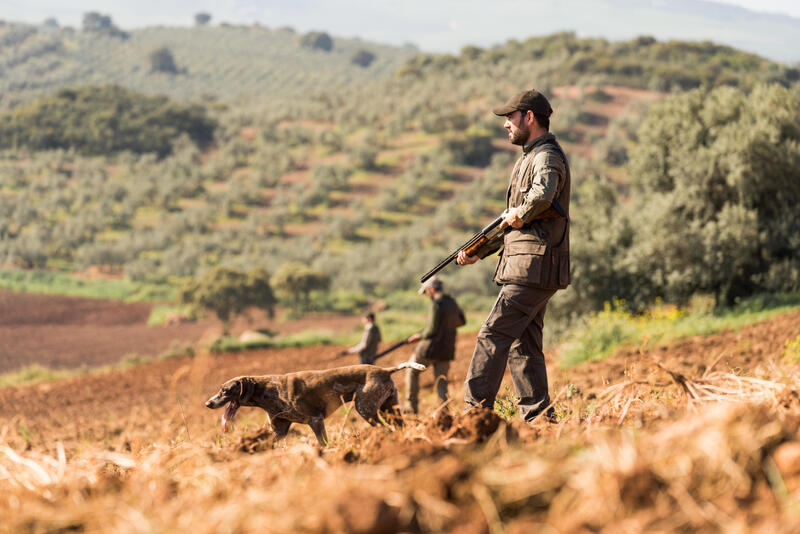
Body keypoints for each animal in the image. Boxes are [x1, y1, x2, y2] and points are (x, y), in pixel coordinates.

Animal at [205, 362, 424, 446]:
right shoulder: (280, 431)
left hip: (366, 409)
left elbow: (323, 443)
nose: (207, 403)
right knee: (400, 426)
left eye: (224, 391)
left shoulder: (315, 420)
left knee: (385, 429)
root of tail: (385, 370)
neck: (269, 390)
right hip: (390, 409)